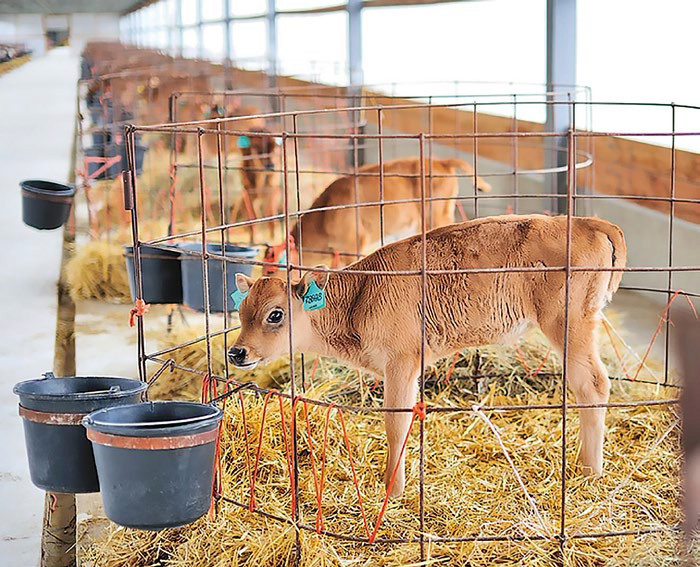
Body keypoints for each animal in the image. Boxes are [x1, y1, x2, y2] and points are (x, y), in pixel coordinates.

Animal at [228, 214, 627, 498]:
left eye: (275, 314)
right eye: (242, 310)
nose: (236, 352)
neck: (360, 294)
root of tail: (584, 222)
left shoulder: (401, 362)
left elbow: (396, 424)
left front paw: (394, 489)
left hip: (568, 324)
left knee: (593, 385)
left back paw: (590, 472)